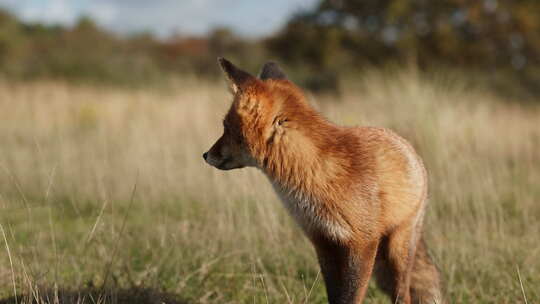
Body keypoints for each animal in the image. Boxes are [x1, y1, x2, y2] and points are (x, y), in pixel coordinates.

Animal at [202, 58, 442, 302]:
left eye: (225, 127)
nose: (205, 155)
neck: (314, 171)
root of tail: (408, 146)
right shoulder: (323, 242)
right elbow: (334, 296)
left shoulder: (361, 244)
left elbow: (351, 297)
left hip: (398, 248)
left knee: (403, 293)